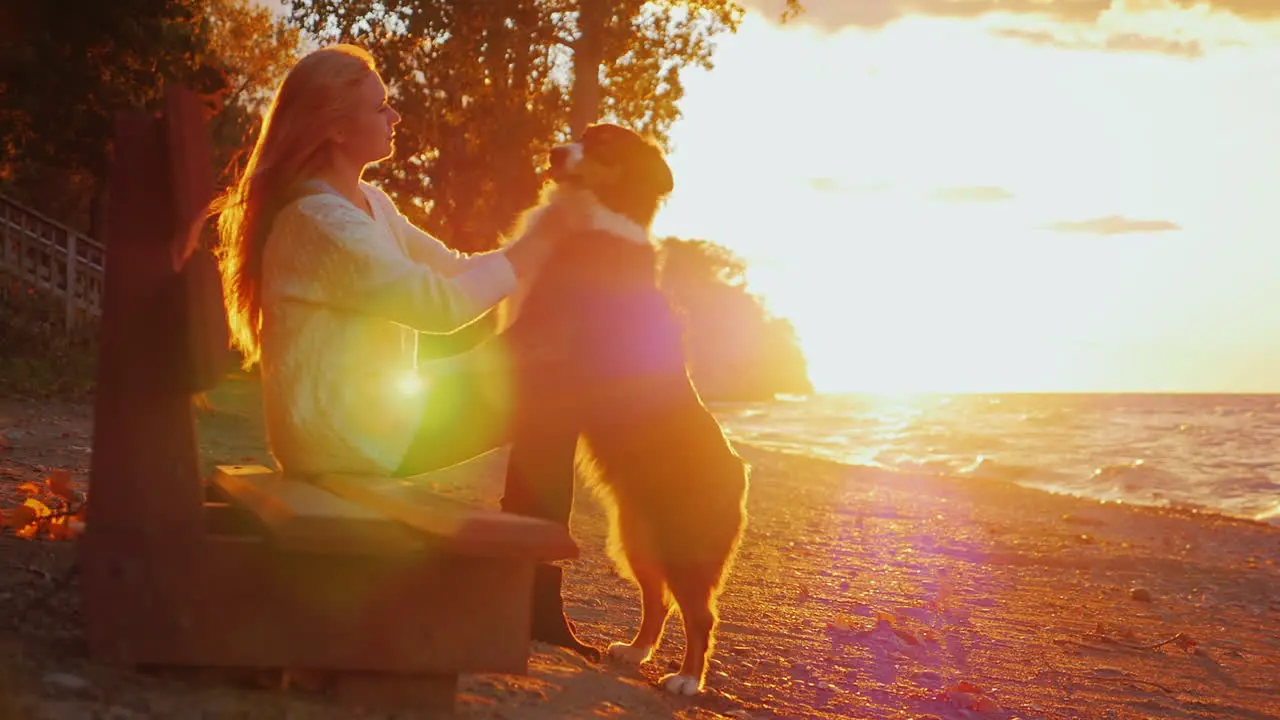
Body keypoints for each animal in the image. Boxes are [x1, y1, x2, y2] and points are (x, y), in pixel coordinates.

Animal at [496, 124, 747, 696]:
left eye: (606, 146)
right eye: (580, 135)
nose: (553, 152)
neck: (601, 213)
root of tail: (740, 469)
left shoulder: (541, 326)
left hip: (683, 546)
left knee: (701, 614)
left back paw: (687, 679)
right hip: (637, 540)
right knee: (659, 600)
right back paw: (635, 651)